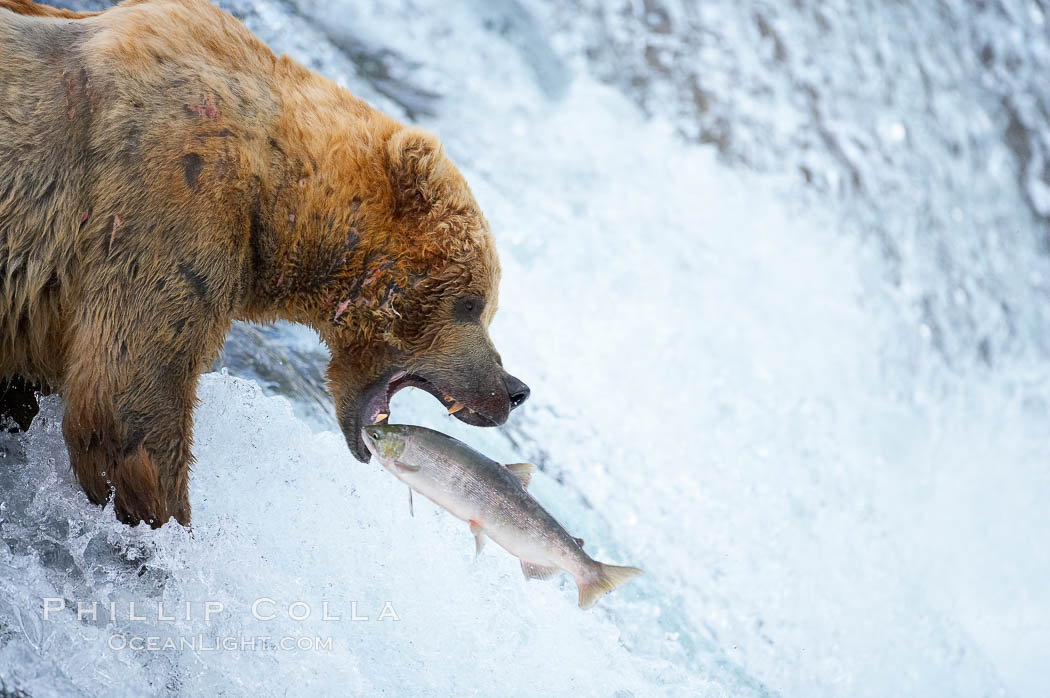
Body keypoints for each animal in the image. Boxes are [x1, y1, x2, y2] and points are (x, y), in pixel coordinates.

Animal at [0, 0, 525, 524]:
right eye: (472, 303)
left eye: (488, 304)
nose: (513, 388)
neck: (276, 197)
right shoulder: (170, 202)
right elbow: (127, 404)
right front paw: (172, 525)